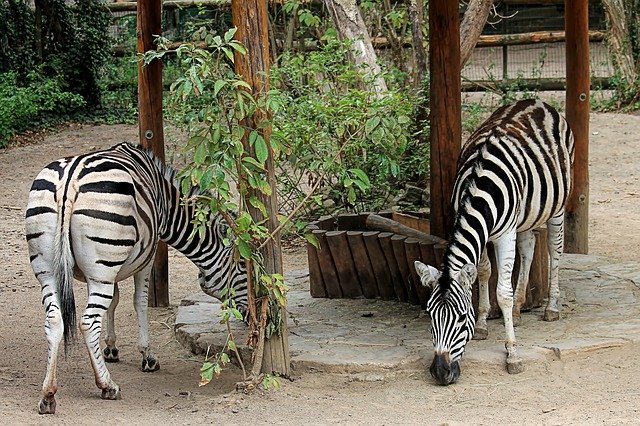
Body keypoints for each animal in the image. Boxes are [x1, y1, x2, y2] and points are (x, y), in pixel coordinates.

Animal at [24, 142, 248, 412]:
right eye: (243, 267)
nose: (250, 318)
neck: (166, 203)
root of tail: (70, 180)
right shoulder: (145, 257)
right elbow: (139, 303)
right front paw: (147, 355)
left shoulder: (108, 269)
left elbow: (114, 302)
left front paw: (110, 348)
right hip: (100, 265)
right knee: (88, 322)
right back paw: (107, 385)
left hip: (49, 270)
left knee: (54, 320)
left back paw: (48, 394)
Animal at [416, 100, 576, 386]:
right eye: (430, 315)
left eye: (460, 318)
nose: (440, 373)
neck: (477, 191)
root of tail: (536, 101)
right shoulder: (480, 232)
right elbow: (482, 272)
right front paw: (482, 324)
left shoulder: (504, 235)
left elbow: (503, 292)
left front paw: (513, 355)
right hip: (527, 213)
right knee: (528, 247)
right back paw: (520, 309)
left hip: (557, 204)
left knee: (554, 250)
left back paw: (551, 307)